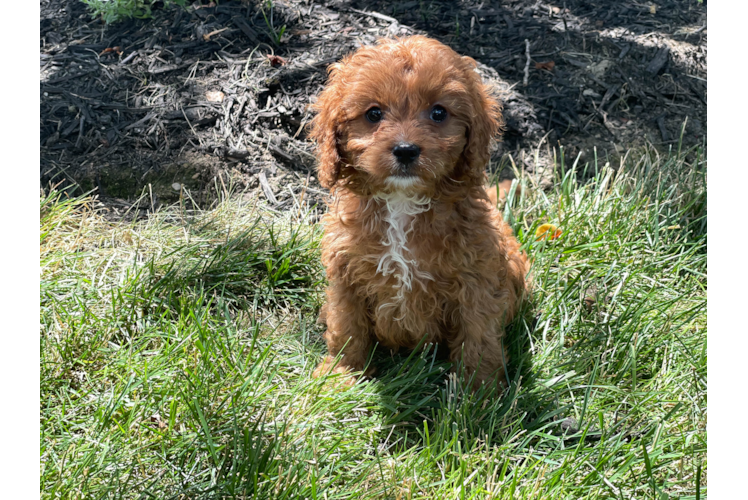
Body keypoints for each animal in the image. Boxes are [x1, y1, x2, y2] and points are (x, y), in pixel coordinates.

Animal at [306, 37, 528, 392]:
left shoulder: (477, 280)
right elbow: (347, 326)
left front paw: (478, 391)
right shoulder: (345, 272)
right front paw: (342, 374)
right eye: (373, 114)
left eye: (439, 112)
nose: (406, 150)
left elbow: (478, 334)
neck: (402, 201)